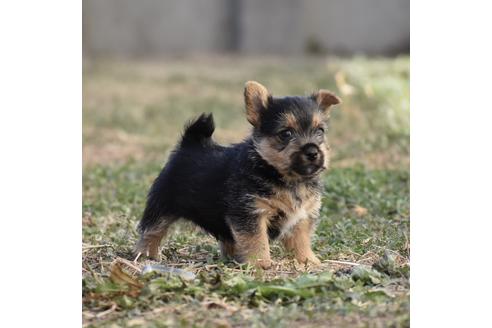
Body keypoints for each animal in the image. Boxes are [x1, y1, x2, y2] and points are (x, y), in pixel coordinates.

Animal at [136, 80, 340, 268]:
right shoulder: (250, 213)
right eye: (286, 134)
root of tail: (190, 144)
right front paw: (260, 263)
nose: (313, 152)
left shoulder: (301, 218)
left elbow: (301, 241)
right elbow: (256, 240)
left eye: (320, 131)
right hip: (161, 205)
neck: (286, 177)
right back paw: (146, 255)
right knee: (151, 230)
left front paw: (308, 260)